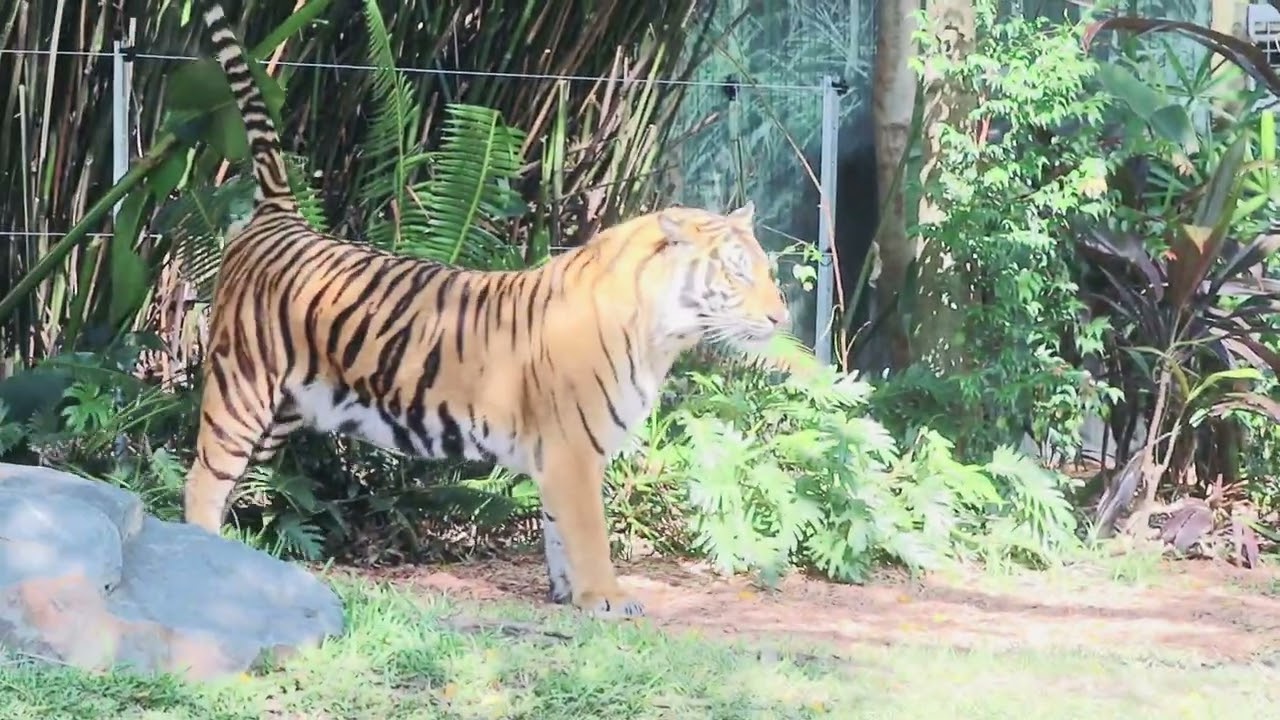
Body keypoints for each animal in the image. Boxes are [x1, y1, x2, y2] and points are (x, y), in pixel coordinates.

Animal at [187, 0, 792, 619]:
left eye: (767, 271)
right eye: (737, 272)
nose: (781, 319)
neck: (662, 338)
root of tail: (281, 217)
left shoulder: (559, 458)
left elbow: (558, 532)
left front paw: (567, 596)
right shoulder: (576, 451)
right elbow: (589, 534)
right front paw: (606, 598)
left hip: (284, 411)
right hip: (242, 388)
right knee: (202, 481)